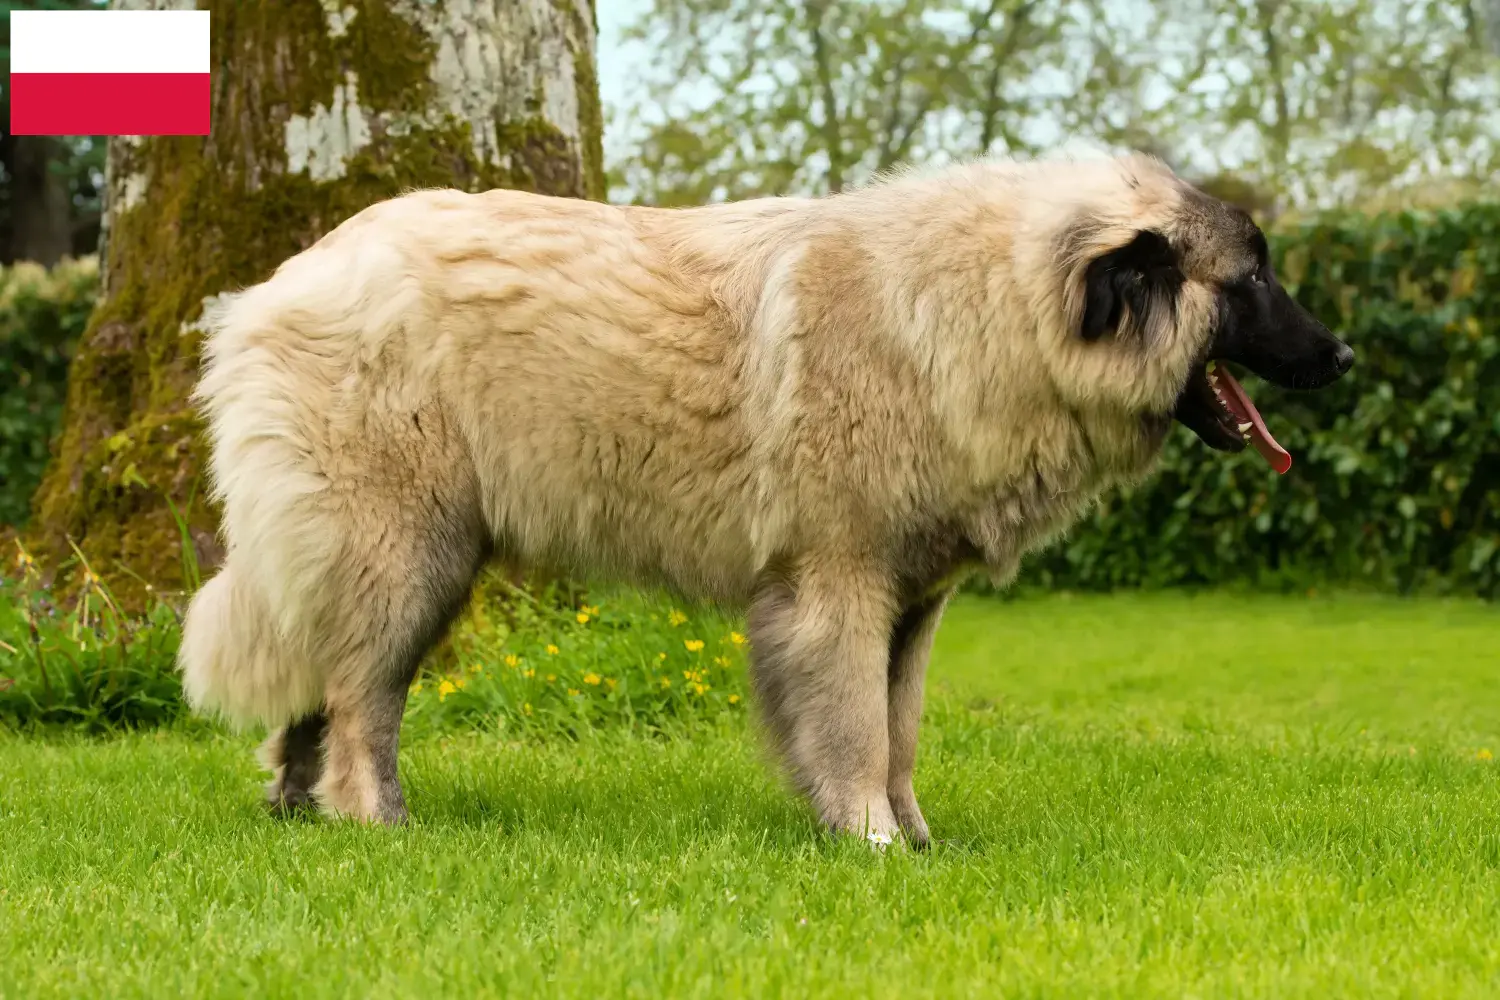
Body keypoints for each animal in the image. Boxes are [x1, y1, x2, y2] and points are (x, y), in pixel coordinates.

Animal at [181, 152, 1356, 851]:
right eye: (1251, 281)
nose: (1344, 355)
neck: (982, 311)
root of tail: (276, 285)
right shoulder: (836, 588)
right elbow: (855, 731)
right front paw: (871, 842)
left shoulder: (910, 606)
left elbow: (900, 729)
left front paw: (914, 840)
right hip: (406, 554)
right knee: (359, 701)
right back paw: (373, 823)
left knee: (319, 693)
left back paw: (299, 816)